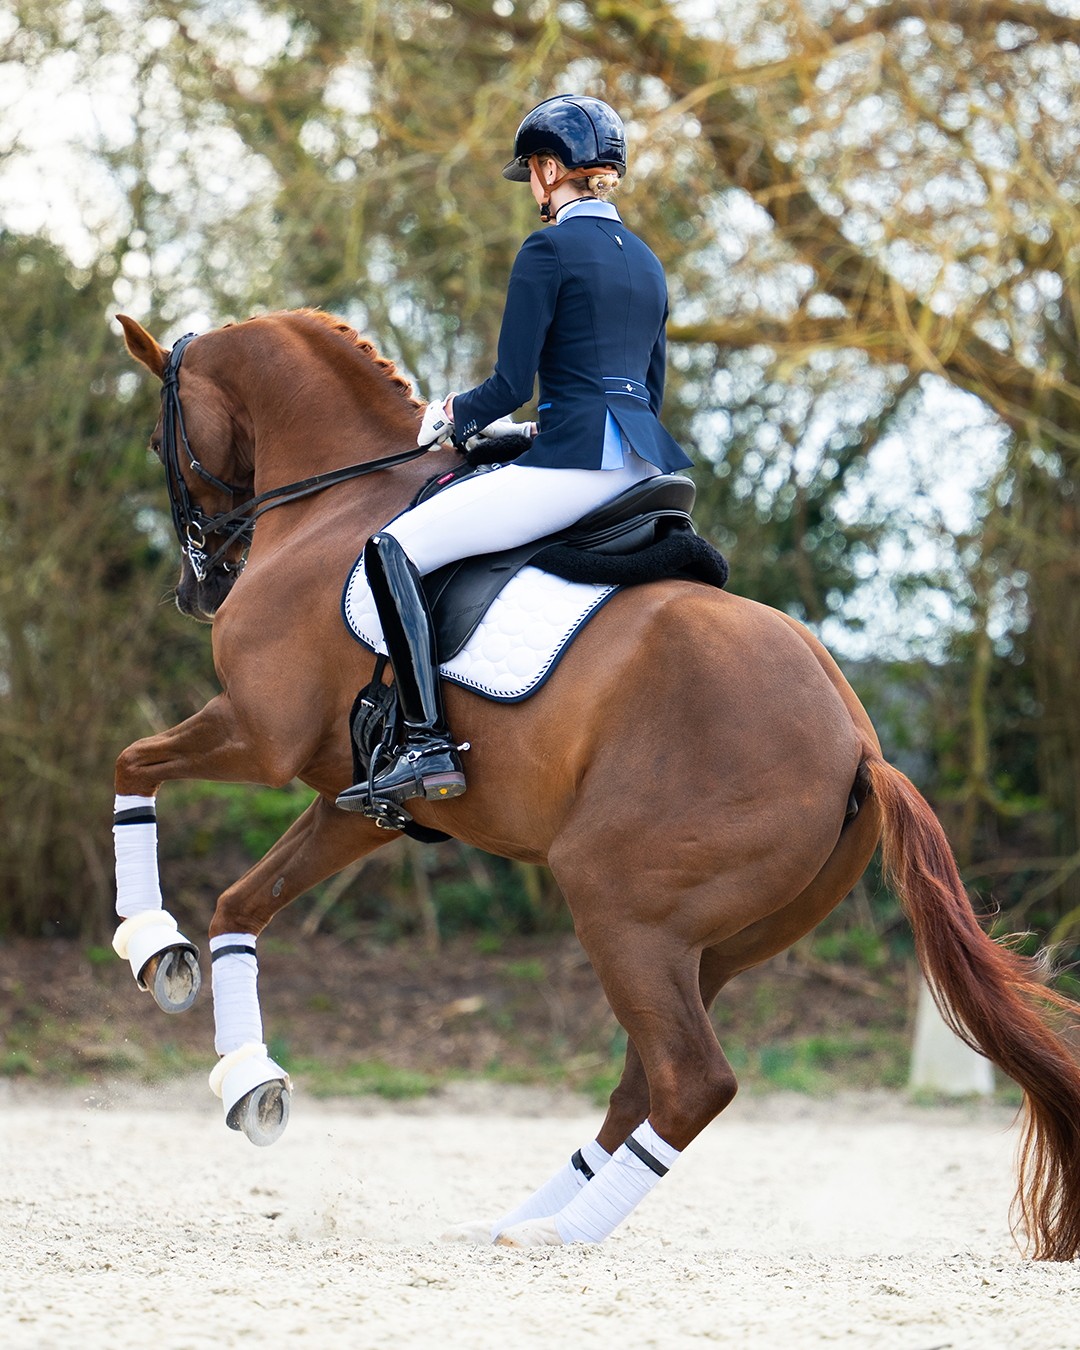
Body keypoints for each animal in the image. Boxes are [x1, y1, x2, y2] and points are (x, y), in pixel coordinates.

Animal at [113, 307, 1080, 1259]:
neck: (333, 504)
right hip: (702, 946)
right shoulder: (362, 803)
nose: (197, 590)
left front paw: (149, 943)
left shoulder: (259, 734)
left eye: (162, 445)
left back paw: (562, 1232)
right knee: (642, 1085)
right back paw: (520, 1220)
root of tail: (858, 742)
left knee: (690, 1082)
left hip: (616, 901)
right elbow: (240, 904)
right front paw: (243, 1070)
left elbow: (132, 766)